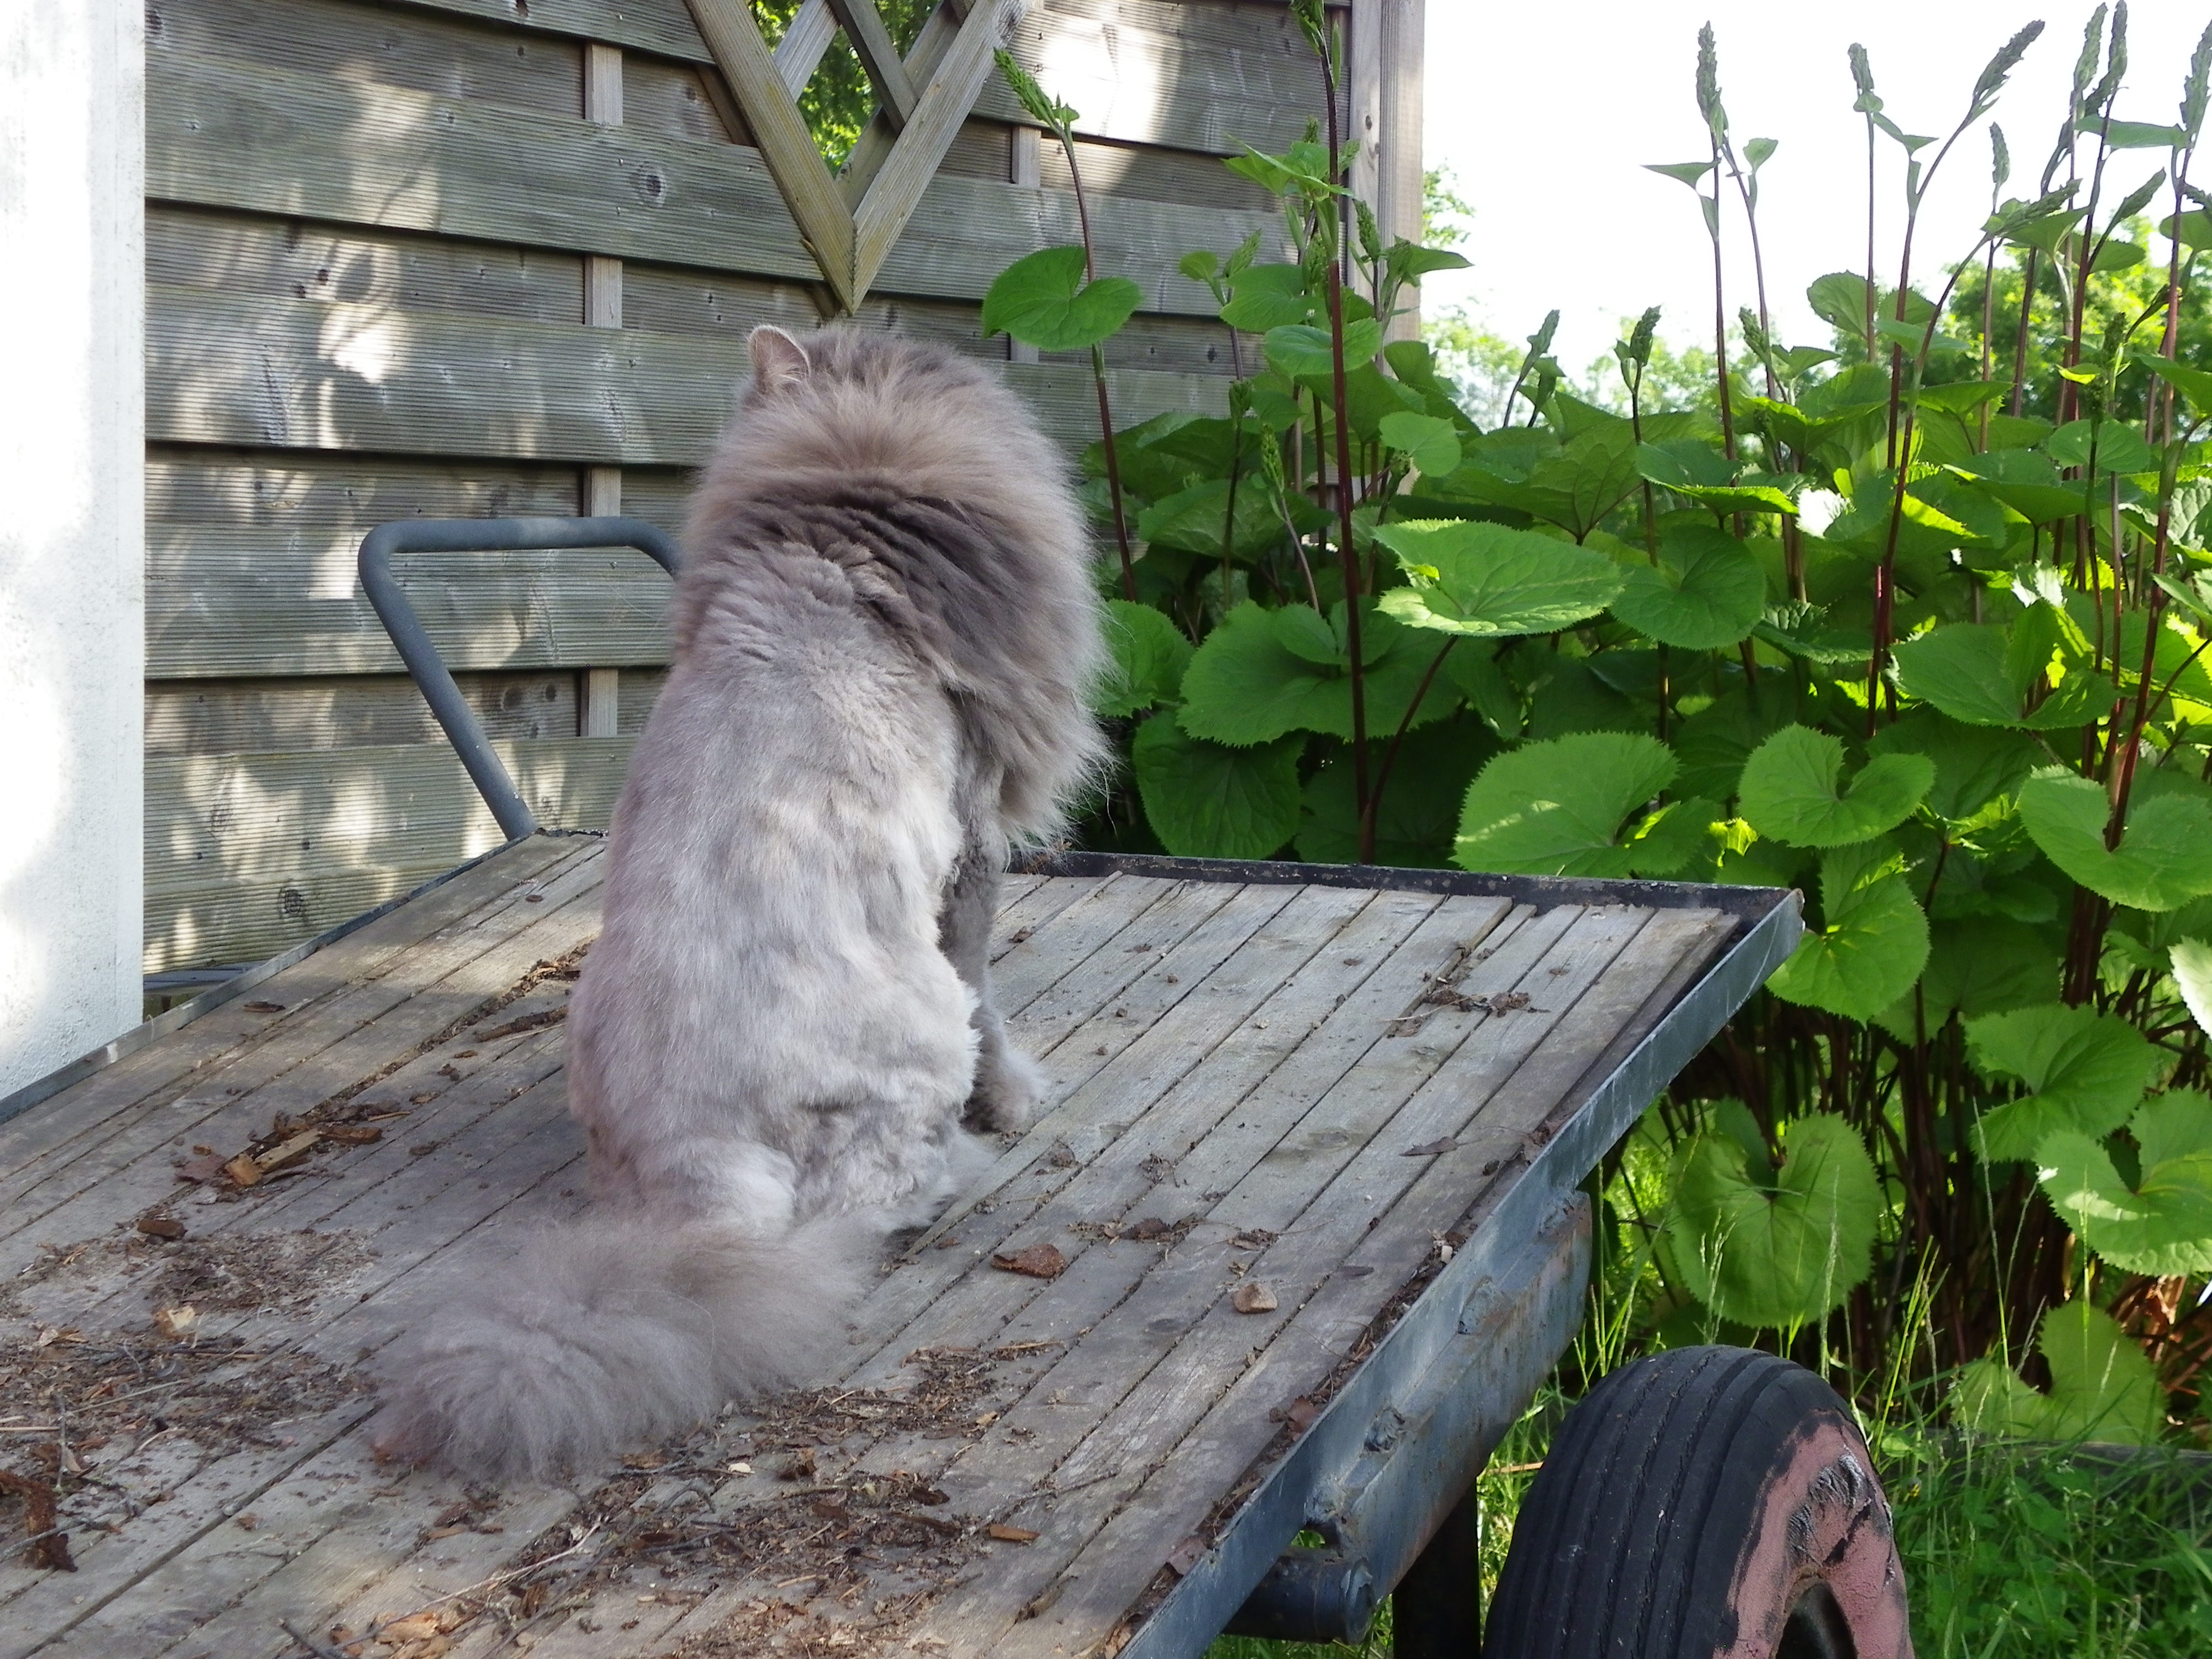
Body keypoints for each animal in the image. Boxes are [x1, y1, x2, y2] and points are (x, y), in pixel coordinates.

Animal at [370, 325, 1106, 1481]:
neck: (840, 533)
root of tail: (702, 1177)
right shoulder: (978, 840)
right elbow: (993, 992)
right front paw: (1020, 1100)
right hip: (915, 1037)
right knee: (871, 1202)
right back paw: (962, 1165)